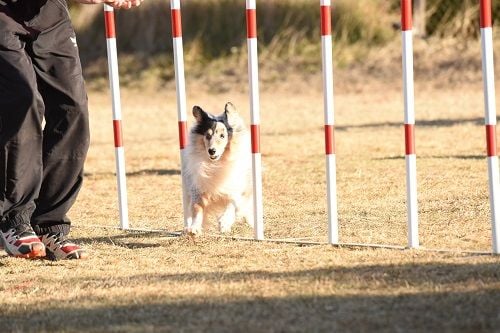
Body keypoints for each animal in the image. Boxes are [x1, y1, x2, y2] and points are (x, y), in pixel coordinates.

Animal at [183, 102, 254, 235]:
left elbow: (232, 203)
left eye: (222, 136)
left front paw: (224, 223)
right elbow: (197, 207)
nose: (212, 151)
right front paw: (194, 227)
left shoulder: (234, 187)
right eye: (207, 135)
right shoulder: (198, 188)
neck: (216, 164)